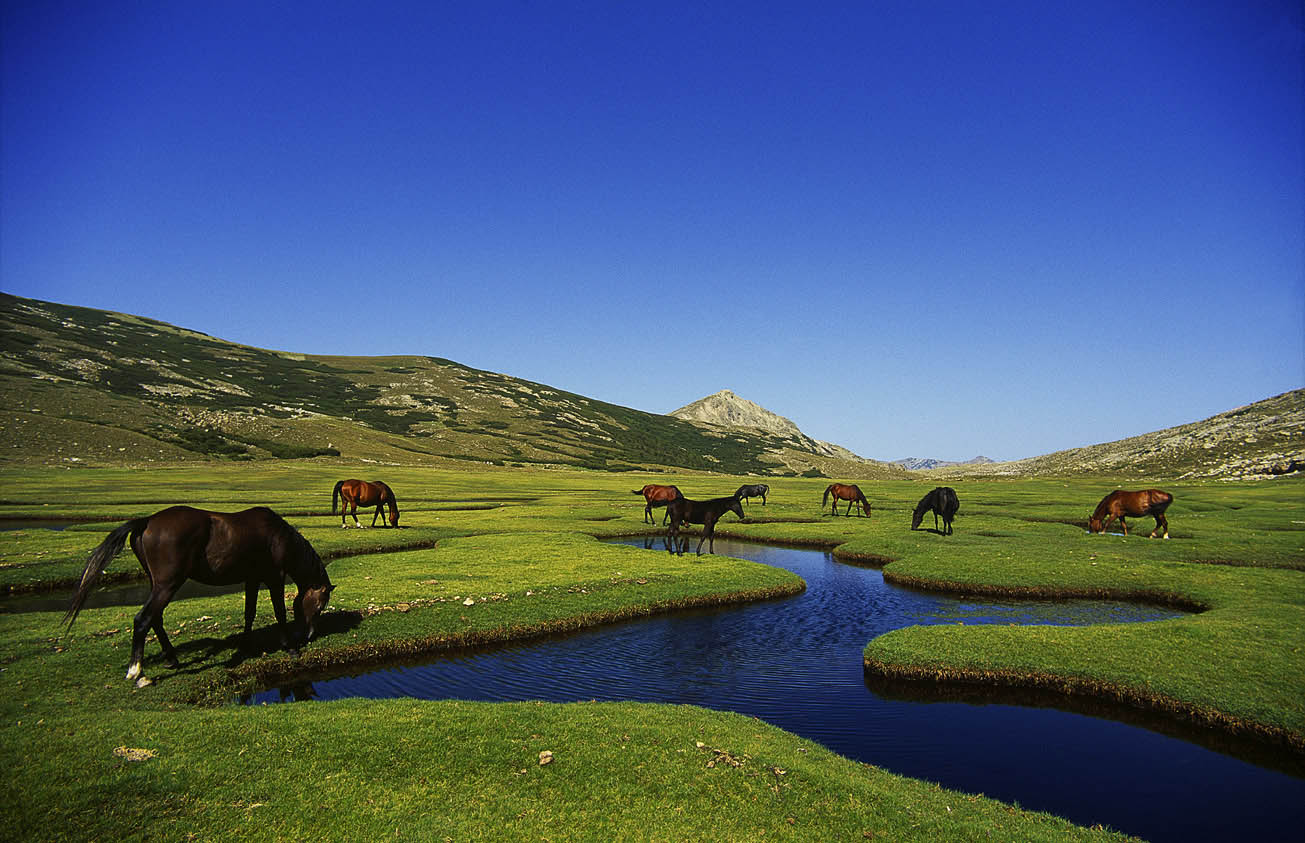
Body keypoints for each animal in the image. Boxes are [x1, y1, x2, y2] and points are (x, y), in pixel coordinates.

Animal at [64, 506, 334, 683]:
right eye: (320, 605)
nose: (310, 635)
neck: (279, 537)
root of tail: (148, 521)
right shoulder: (274, 577)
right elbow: (279, 612)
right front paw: (291, 649)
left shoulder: (252, 579)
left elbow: (249, 612)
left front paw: (246, 644)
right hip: (168, 584)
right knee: (143, 620)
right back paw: (137, 672)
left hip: (156, 582)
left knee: (155, 619)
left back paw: (172, 659)